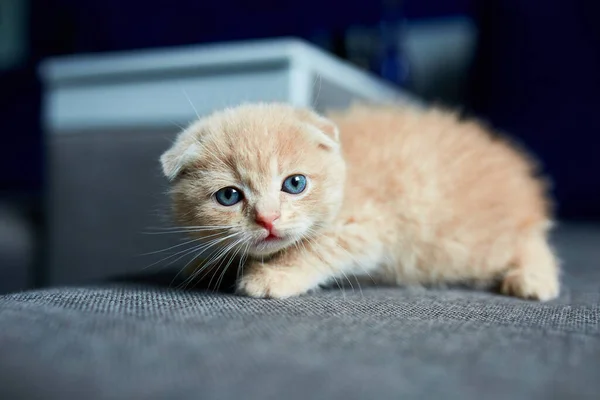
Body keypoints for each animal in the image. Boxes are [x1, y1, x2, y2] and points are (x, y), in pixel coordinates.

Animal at [159, 103, 556, 300]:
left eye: (295, 183)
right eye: (229, 196)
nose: (268, 219)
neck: (346, 173)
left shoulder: (366, 226)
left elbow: (315, 248)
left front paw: (273, 275)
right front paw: (208, 265)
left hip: (463, 245)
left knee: (529, 242)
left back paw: (534, 279)